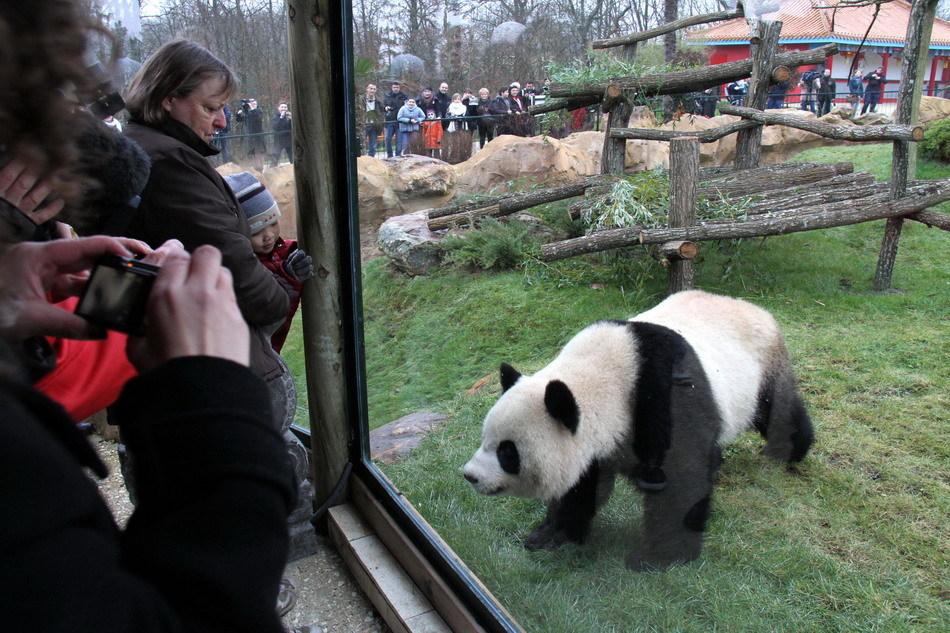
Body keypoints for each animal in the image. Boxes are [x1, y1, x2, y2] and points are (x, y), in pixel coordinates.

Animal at [464, 288, 816, 572]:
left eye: (508, 452)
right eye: (485, 440)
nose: (470, 476)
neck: (605, 378)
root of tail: (753, 306)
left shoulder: (663, 399)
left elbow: (681, 481)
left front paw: (658, 557)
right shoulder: (597, 444)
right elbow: (581, 486)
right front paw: (551, 534)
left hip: (762, 366)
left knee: (776, 411)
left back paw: (788, 450)